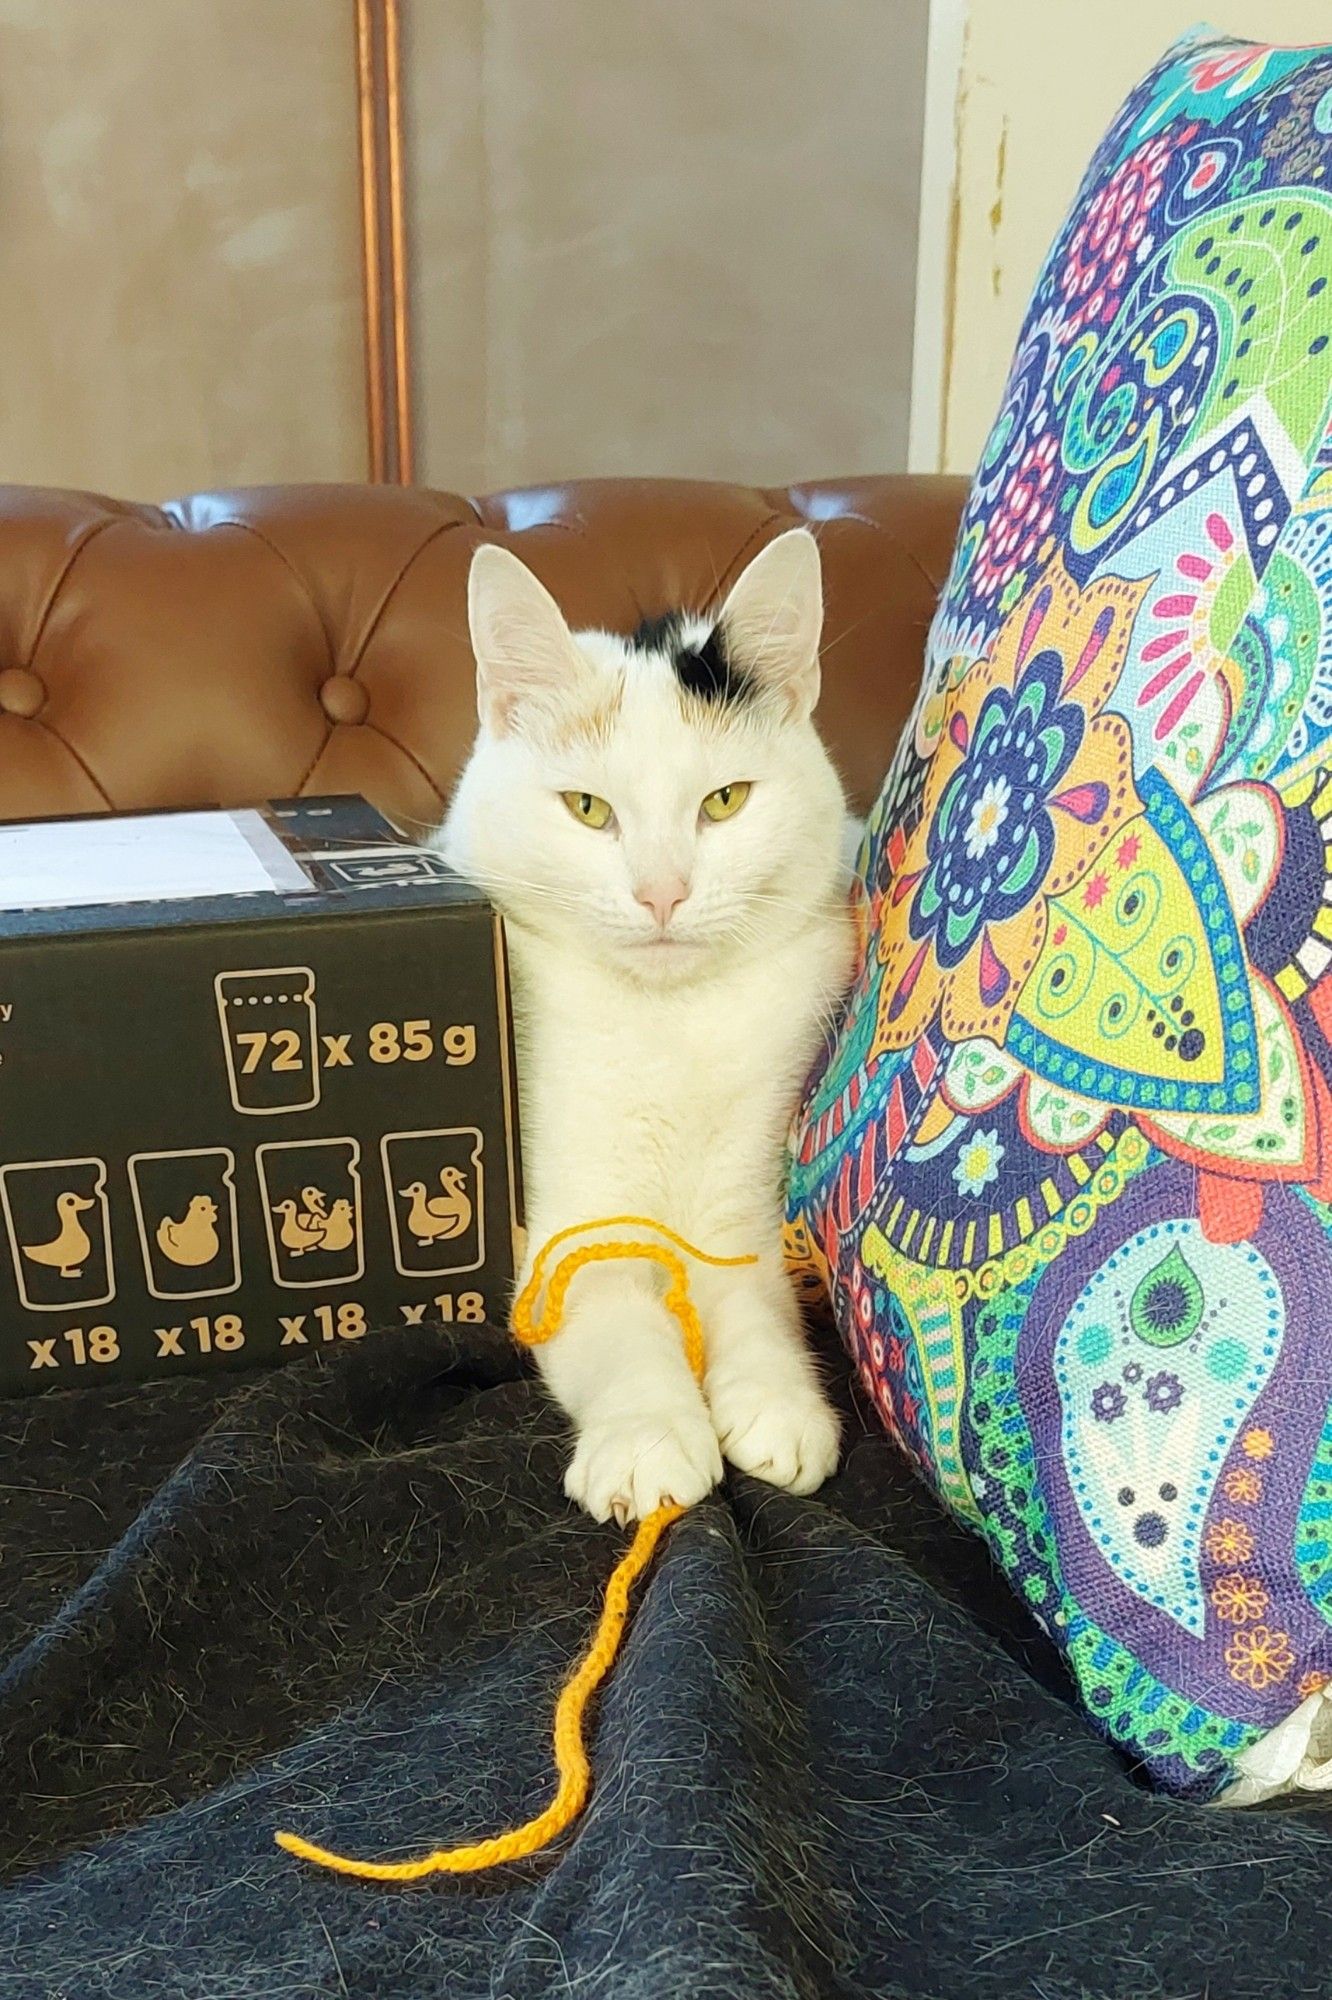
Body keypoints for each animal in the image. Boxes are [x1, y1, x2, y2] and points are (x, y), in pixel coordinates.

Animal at [436, 524, 852, 1520]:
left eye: (725, 801)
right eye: (588, 809)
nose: (663, 893)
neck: (669, 1028)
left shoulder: (740, 1211)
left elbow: (754, 1302)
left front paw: (779, 1403)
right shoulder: (566, 1233)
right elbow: (621, 1325)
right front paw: (648, 1439)